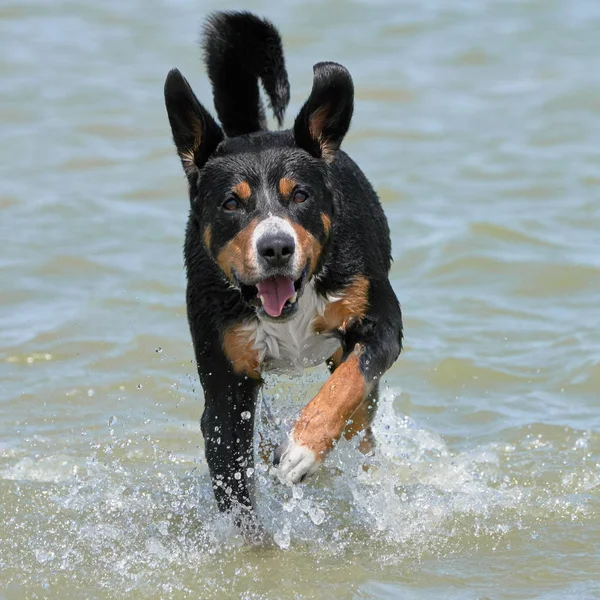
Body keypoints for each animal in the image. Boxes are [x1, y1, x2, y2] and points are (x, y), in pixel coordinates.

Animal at [163, 9, 404, 536]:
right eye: (231, 203)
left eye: (300, 195)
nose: (275, 246)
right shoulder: (226, 389)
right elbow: (238, 494)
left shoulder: (382, 323)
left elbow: (349, 382)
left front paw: (302, 449)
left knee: (360, 414)